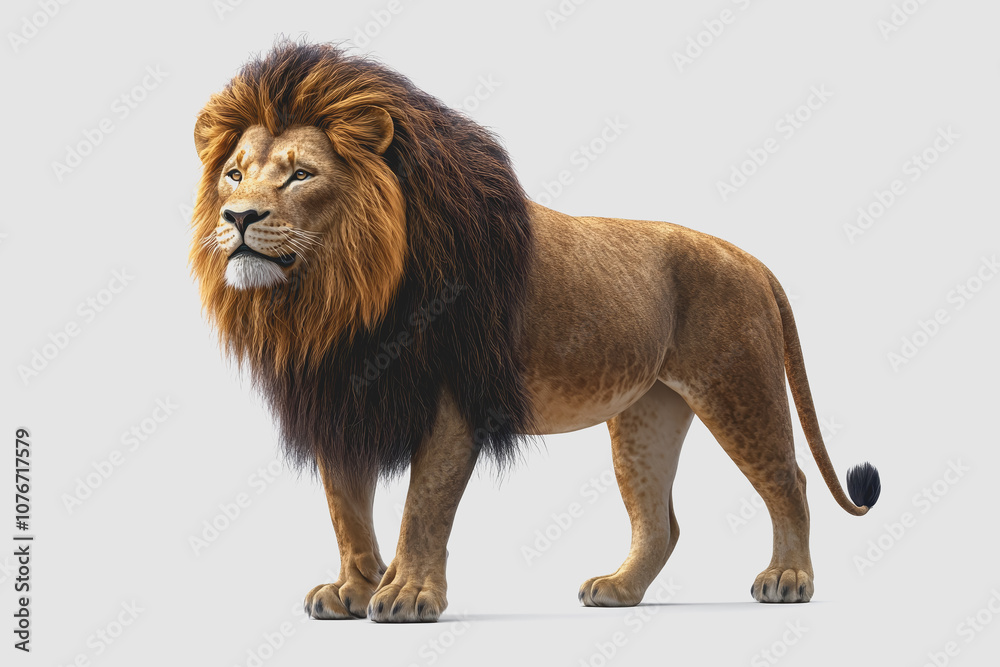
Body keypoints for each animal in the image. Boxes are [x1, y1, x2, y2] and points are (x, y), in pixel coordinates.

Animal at [190, 41, 881, 623]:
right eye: (234, 173)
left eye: (301, 174)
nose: (238, 217)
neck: (338, 298)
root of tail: (749, 257)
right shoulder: (339, 399)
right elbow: (346, 509)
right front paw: (353, 590)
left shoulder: (456, 399)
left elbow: (423, 506)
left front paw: (407, 595)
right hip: (647, 413)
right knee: (661, 522)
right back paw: (619, 590)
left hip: (736, 387)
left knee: (788, 480)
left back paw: (788, 579)